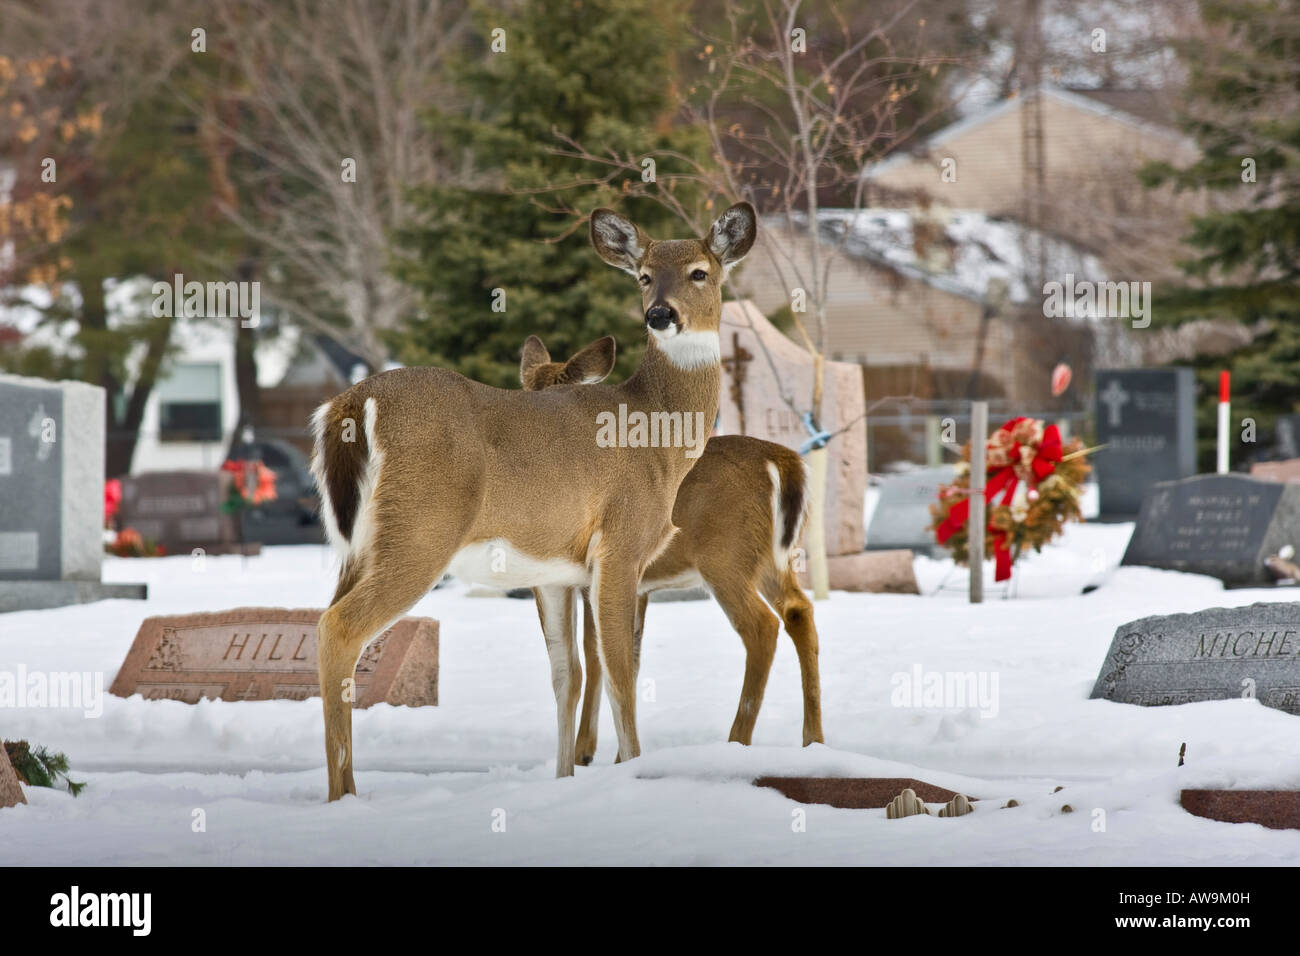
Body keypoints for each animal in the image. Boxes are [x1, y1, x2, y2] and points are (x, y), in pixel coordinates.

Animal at [308, 202, 757, 800]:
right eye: (644, 275)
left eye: (699, 272)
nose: (660, 314)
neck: (655, 434)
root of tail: (352, 404)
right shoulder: (621, 543)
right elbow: (621, 672)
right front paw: (634, 774)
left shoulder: (555, 571)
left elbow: (567, 673)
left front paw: (566, 778)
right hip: (420, 531)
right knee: (338, 628)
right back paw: (344, 796)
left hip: (355, 548)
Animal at [519, 335, 824, 764]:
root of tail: (781, 460)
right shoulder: (635, 584)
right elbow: (627, 656)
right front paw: (615, 756)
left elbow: (596, 654)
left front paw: (585, 751)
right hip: (772, 558)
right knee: (800, 611)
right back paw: (813, 739)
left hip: (725, 556)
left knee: (761, 626)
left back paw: (736, 740)